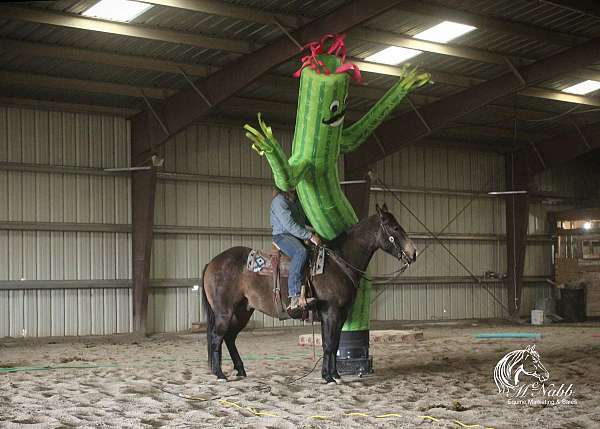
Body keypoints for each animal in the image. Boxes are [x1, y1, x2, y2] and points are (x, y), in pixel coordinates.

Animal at [202, 202, 418, 382]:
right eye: (395, 228)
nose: (413, 252)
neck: (338, 262)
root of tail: (212, 262)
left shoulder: (337, 314)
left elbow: (333, 344)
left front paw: (333, 374)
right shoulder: (331, 312)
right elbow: (330, 344)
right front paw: (329, 377)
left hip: (243, 311)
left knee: (229, 338)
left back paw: (240, 370)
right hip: (224, 312)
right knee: (216, 338)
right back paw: (220, 374)